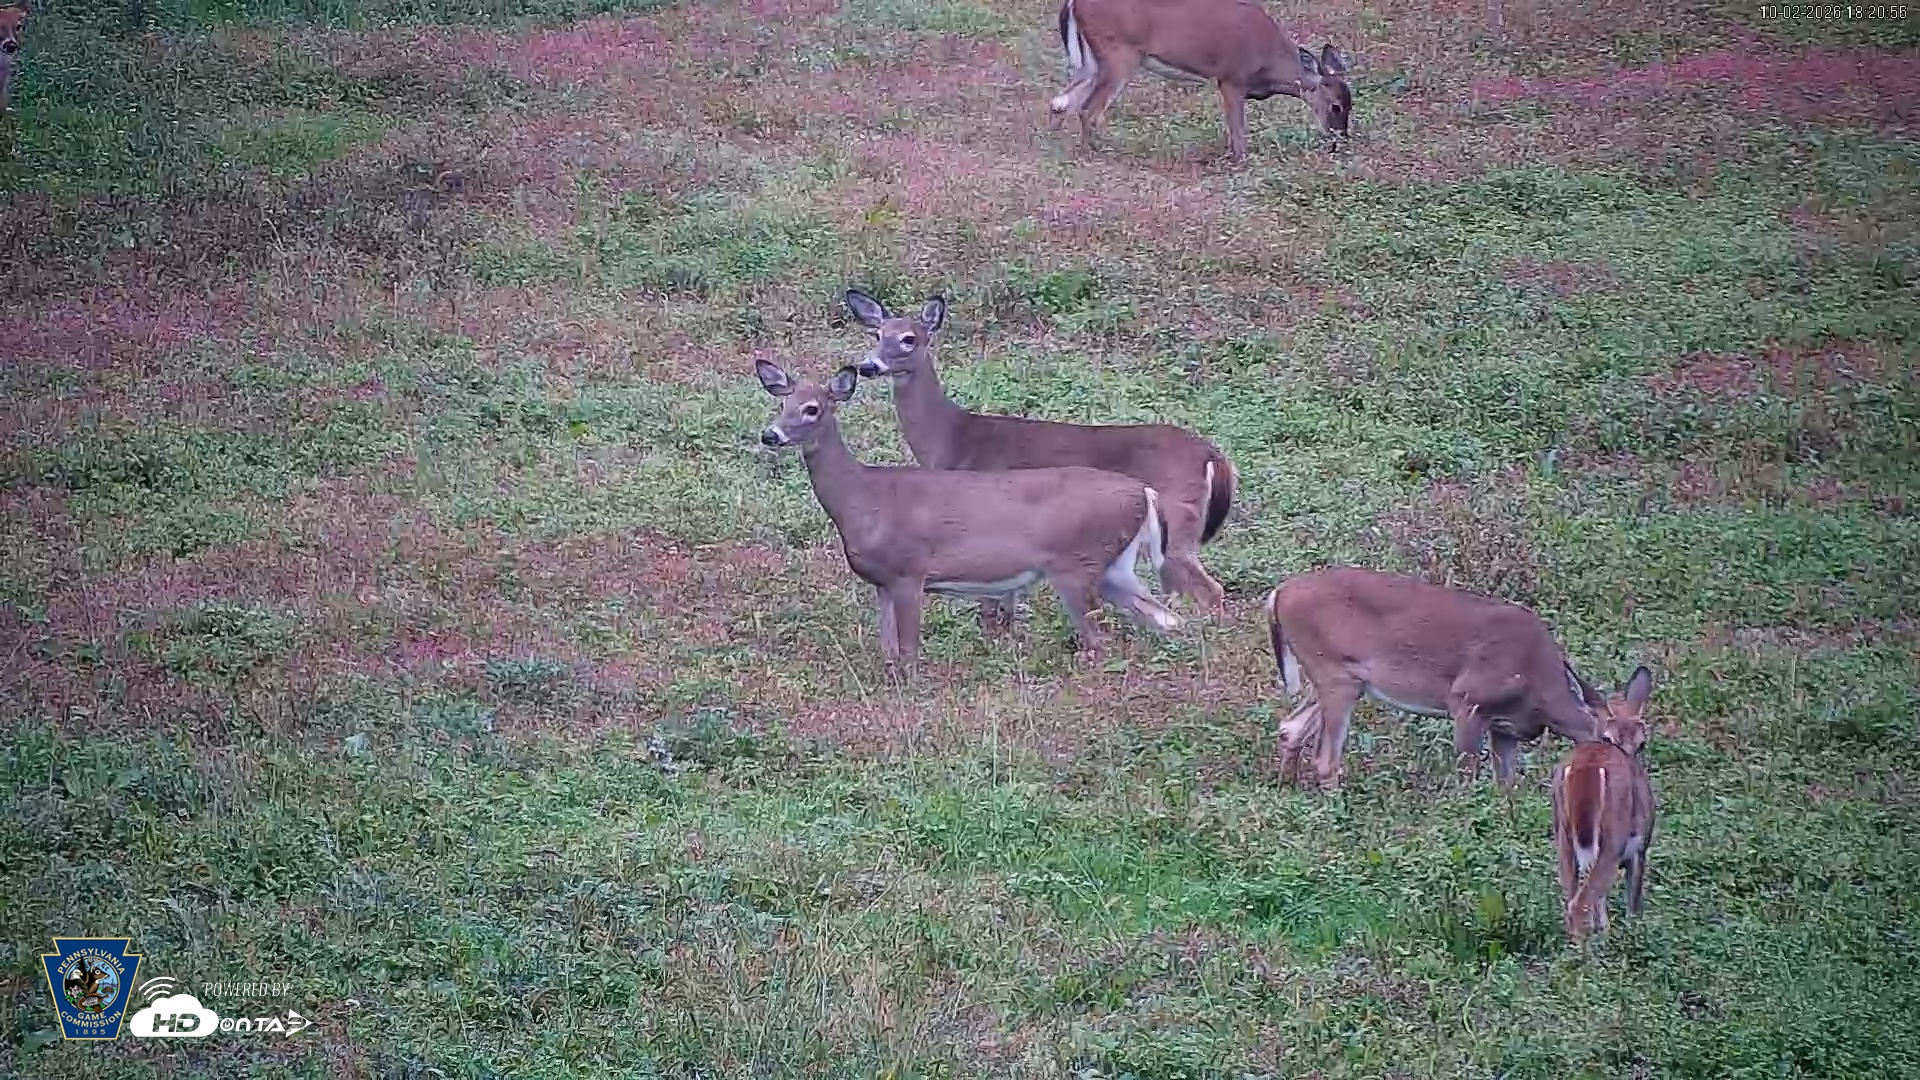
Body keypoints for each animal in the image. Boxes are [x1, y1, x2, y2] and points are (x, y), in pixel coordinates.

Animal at [754, 359, 1183, 674]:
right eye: (782, 404)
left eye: (811, 408)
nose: (770, 435)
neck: (864, 499)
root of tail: (1144, 493)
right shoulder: (882, 582)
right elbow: (888, 650)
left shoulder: (910, 572)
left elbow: (909, 653)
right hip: (1113, 567)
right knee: (1166, 617)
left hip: (1078, 564)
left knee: (1101, 638)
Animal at [845, 289, 1236, 642]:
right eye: (877, 334)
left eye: (909, 338)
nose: (868, 366)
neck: (954, 439)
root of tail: (1212, 455)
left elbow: (992, 605)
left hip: (1178, 525)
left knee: (1211, 590)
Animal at [1048, 0, 1353, 162]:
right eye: (1335, 106)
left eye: (1350, 106)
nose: (1340, 139)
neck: (1270, 62)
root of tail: (1073, 3)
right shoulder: (1231, 77)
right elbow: (1237, 127)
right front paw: (1240, 160)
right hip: (1119, 55)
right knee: (1088, 109)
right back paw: (1097, 152)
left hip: (1089, 62)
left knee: (1060, 101)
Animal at [1264, 565, 1627, 792]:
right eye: (1608, 738)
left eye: (1638, 742)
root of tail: (1277, 593)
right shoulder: (1466, 700)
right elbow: (1467, 773)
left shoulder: (1505, 727)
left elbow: (1505, 785)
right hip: (1334, 672)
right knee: (1325, 759)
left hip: (1335, 677)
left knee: (1290, 727)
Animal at [1553, 666, 1656, 943]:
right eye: (1643, 742)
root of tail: (1586, 771)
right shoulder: (1639, 847)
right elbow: (1633, 903)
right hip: (1613, 841)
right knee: (1580, 904)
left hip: (1564, 836)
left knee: (1572, 899)